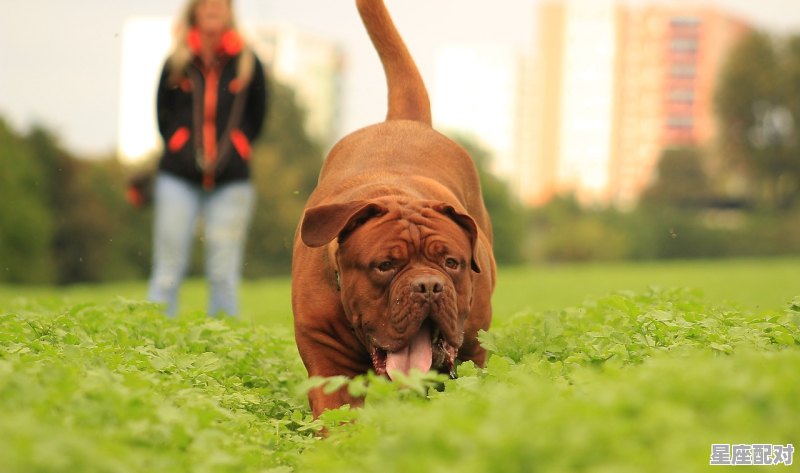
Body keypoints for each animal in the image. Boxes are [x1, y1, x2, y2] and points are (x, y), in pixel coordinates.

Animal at [294, 0, 494, 418]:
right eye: (385, 265)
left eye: (451, 263)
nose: (429, 286)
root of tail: (403, 120)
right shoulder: (327, 363)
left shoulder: (473, 351)